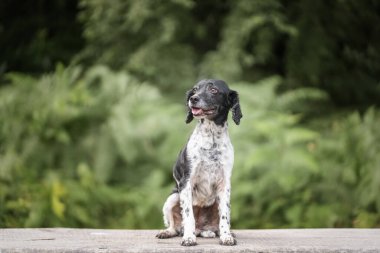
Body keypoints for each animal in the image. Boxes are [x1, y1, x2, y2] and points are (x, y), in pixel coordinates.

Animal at [156, 78, 242, 245]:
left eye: (214, 90)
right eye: (195, 89)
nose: (193, 99)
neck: (211, 140)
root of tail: (201, 229)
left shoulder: (224, 184)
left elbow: (224, 217)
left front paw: (226, 237)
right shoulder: (186, 182)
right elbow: (188, 215)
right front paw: (189, 238)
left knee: (214, 226)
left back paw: (215, 232)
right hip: (172, 198)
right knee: (175, 226)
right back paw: (169, 232)